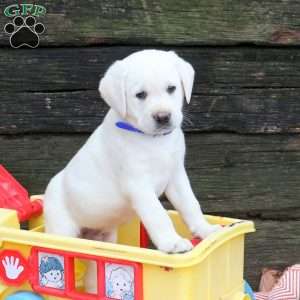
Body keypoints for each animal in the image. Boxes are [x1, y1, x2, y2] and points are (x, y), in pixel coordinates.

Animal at [44, 49, 221, 255]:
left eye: (171, 88)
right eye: (140, 94)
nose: (163, 117)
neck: (155, 140)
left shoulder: (176, 176)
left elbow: (190, 204)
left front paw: (206, 229)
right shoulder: (138, 185)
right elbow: (158, 214)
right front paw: (172, 243)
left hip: (105, 237)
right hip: (62, 228)